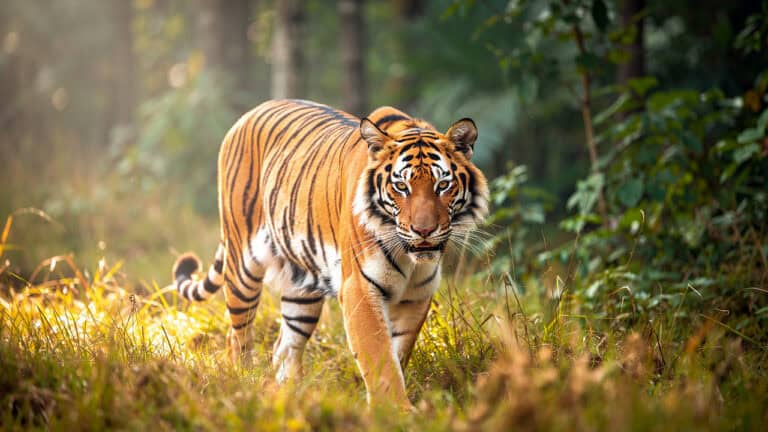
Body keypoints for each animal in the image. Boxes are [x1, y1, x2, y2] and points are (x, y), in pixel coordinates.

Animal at [172, 99, 488, 409]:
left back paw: (291, 395)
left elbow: (397, 352)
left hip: (302, 290)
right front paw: (396, 411)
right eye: (401, 186)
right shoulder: (359, 288)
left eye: (443, 185)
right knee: (237, 336)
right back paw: (243, 386)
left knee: (284, 346)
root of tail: (248, 113)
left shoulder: (417, 294)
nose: (424, 230)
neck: (410, 258)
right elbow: (379, 356)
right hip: (243, 268)